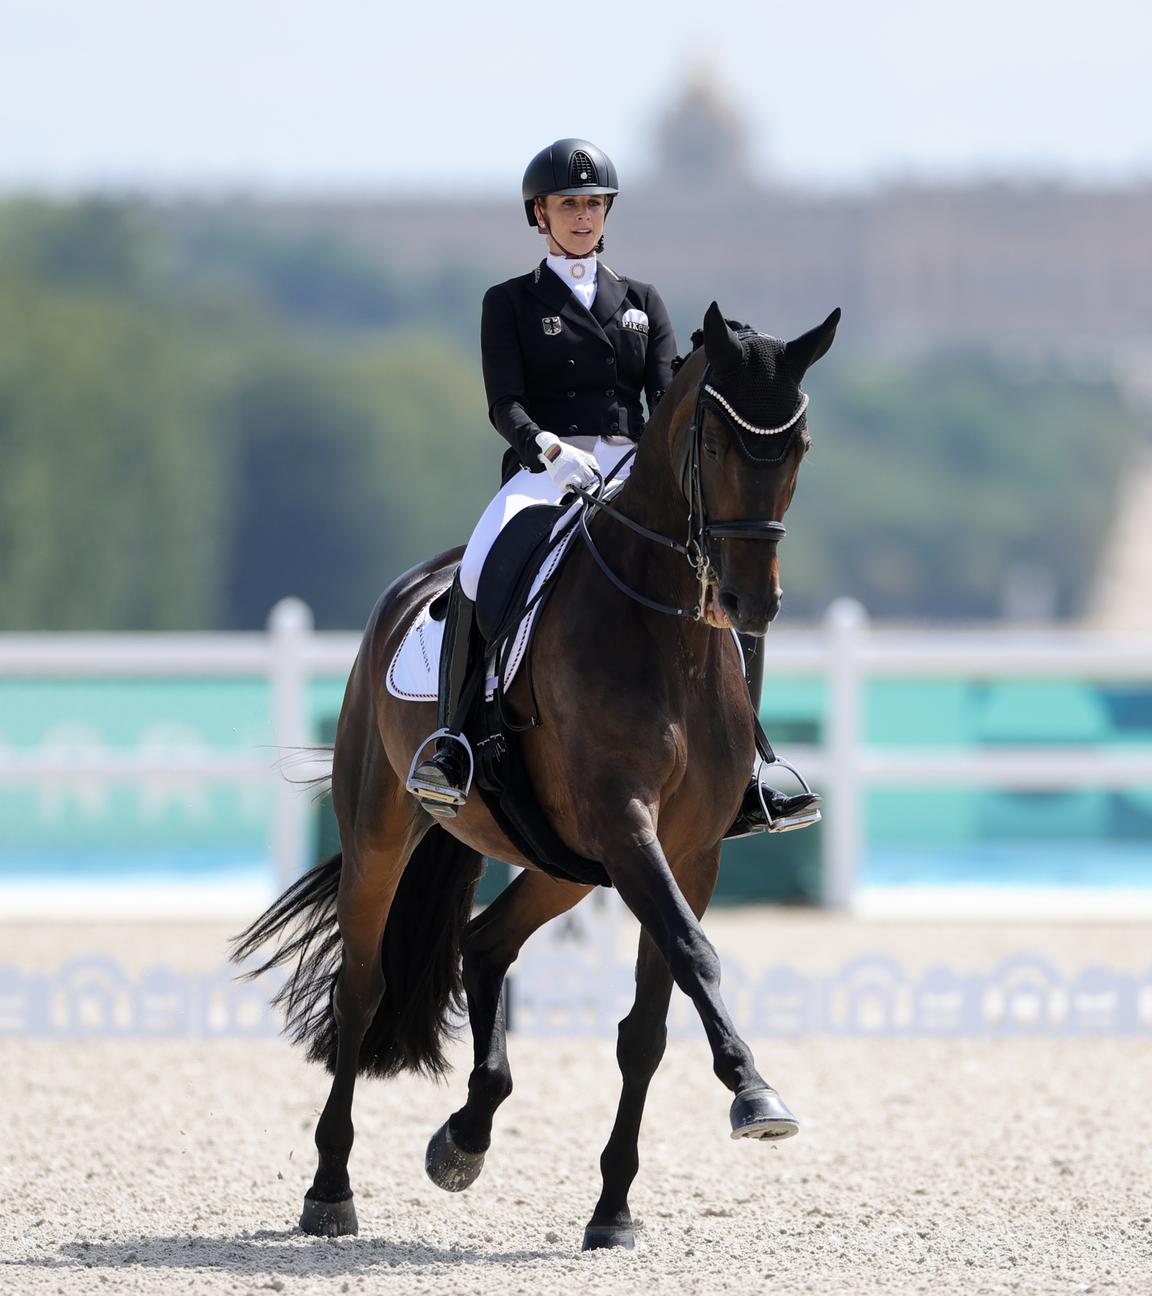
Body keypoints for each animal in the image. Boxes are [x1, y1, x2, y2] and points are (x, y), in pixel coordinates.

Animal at [229, 298, 839, 1249]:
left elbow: (648, 1026)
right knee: (362, 990)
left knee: (483, 944)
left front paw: (614, 1209)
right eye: (713, 444)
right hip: (384, 832)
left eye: (799, 446)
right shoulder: (626, 822)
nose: (753, 605)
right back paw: (330, 1190)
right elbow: (695, 954)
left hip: (566, 863)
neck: (663, 627)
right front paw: (754, 1094)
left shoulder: (687, 851)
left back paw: (465, 1136)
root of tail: (416, 583)